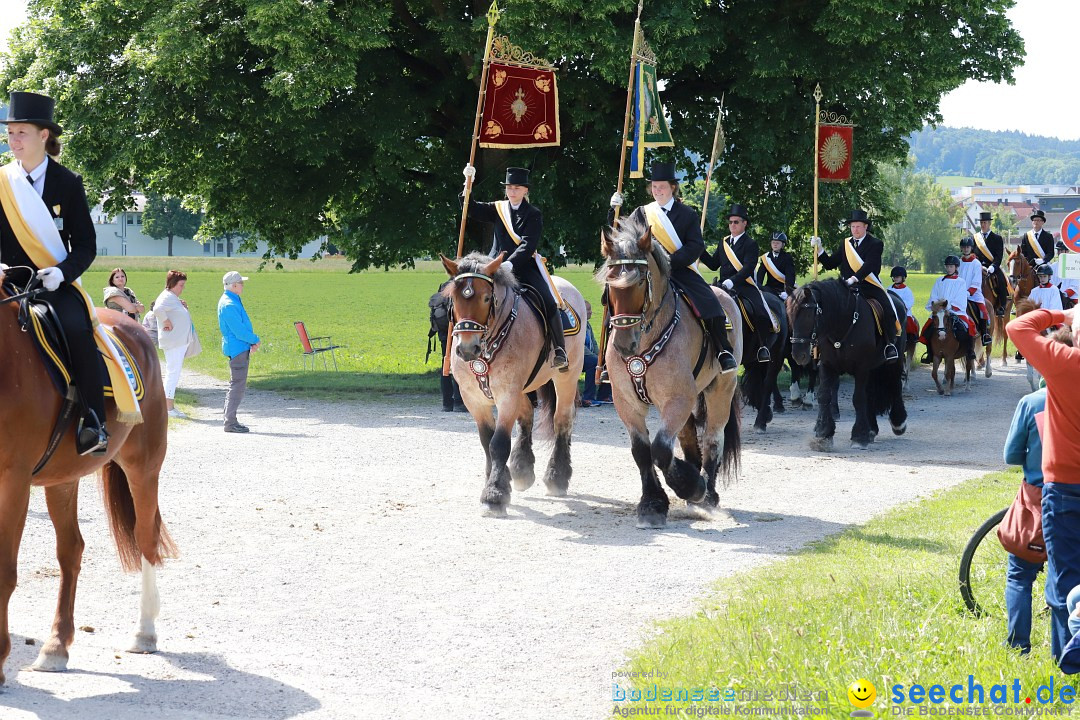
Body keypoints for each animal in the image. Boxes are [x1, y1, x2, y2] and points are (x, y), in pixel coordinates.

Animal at [0, 293, 172, 686]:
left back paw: (145, 631)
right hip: (62, 479)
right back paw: (55, 648)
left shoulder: (13, 482)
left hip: (143, 466)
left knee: (146, 538)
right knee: (71, 550)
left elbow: (4, 571)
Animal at [440, 253, 591, 518]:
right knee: (527, 416)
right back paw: (522, 469)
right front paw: (499, 481)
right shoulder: (473, 400)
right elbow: (486, 441)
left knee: (562, 420)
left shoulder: (507, 394)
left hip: (567, 376)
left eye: (486, 297)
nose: (467, 349)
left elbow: (498, 443)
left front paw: (494, 495)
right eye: (453, 297)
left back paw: (557, 476)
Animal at [600, 220, 743, 528]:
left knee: (713, 439)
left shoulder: (677, 399)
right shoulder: (626, 403)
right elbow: (642, 452)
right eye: (610, 280)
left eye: (640, 282)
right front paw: (652, 503)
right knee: (690, 441)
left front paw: (692, 487)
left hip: (720, 389)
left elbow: (661, 450)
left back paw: (707, 495)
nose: (623, 344)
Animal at [790, 280, 907, 451]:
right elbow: (824, 395)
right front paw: (824, 434)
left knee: (895, 385)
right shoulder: (827, 365)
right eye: (790, 316)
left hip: (894, 362)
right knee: (871, 394)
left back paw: (898, 423)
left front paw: (859, 436)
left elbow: (858, 398)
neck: (841, 325)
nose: (799, 355)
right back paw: (871, 429)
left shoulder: (861, 368)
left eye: (808, 315)